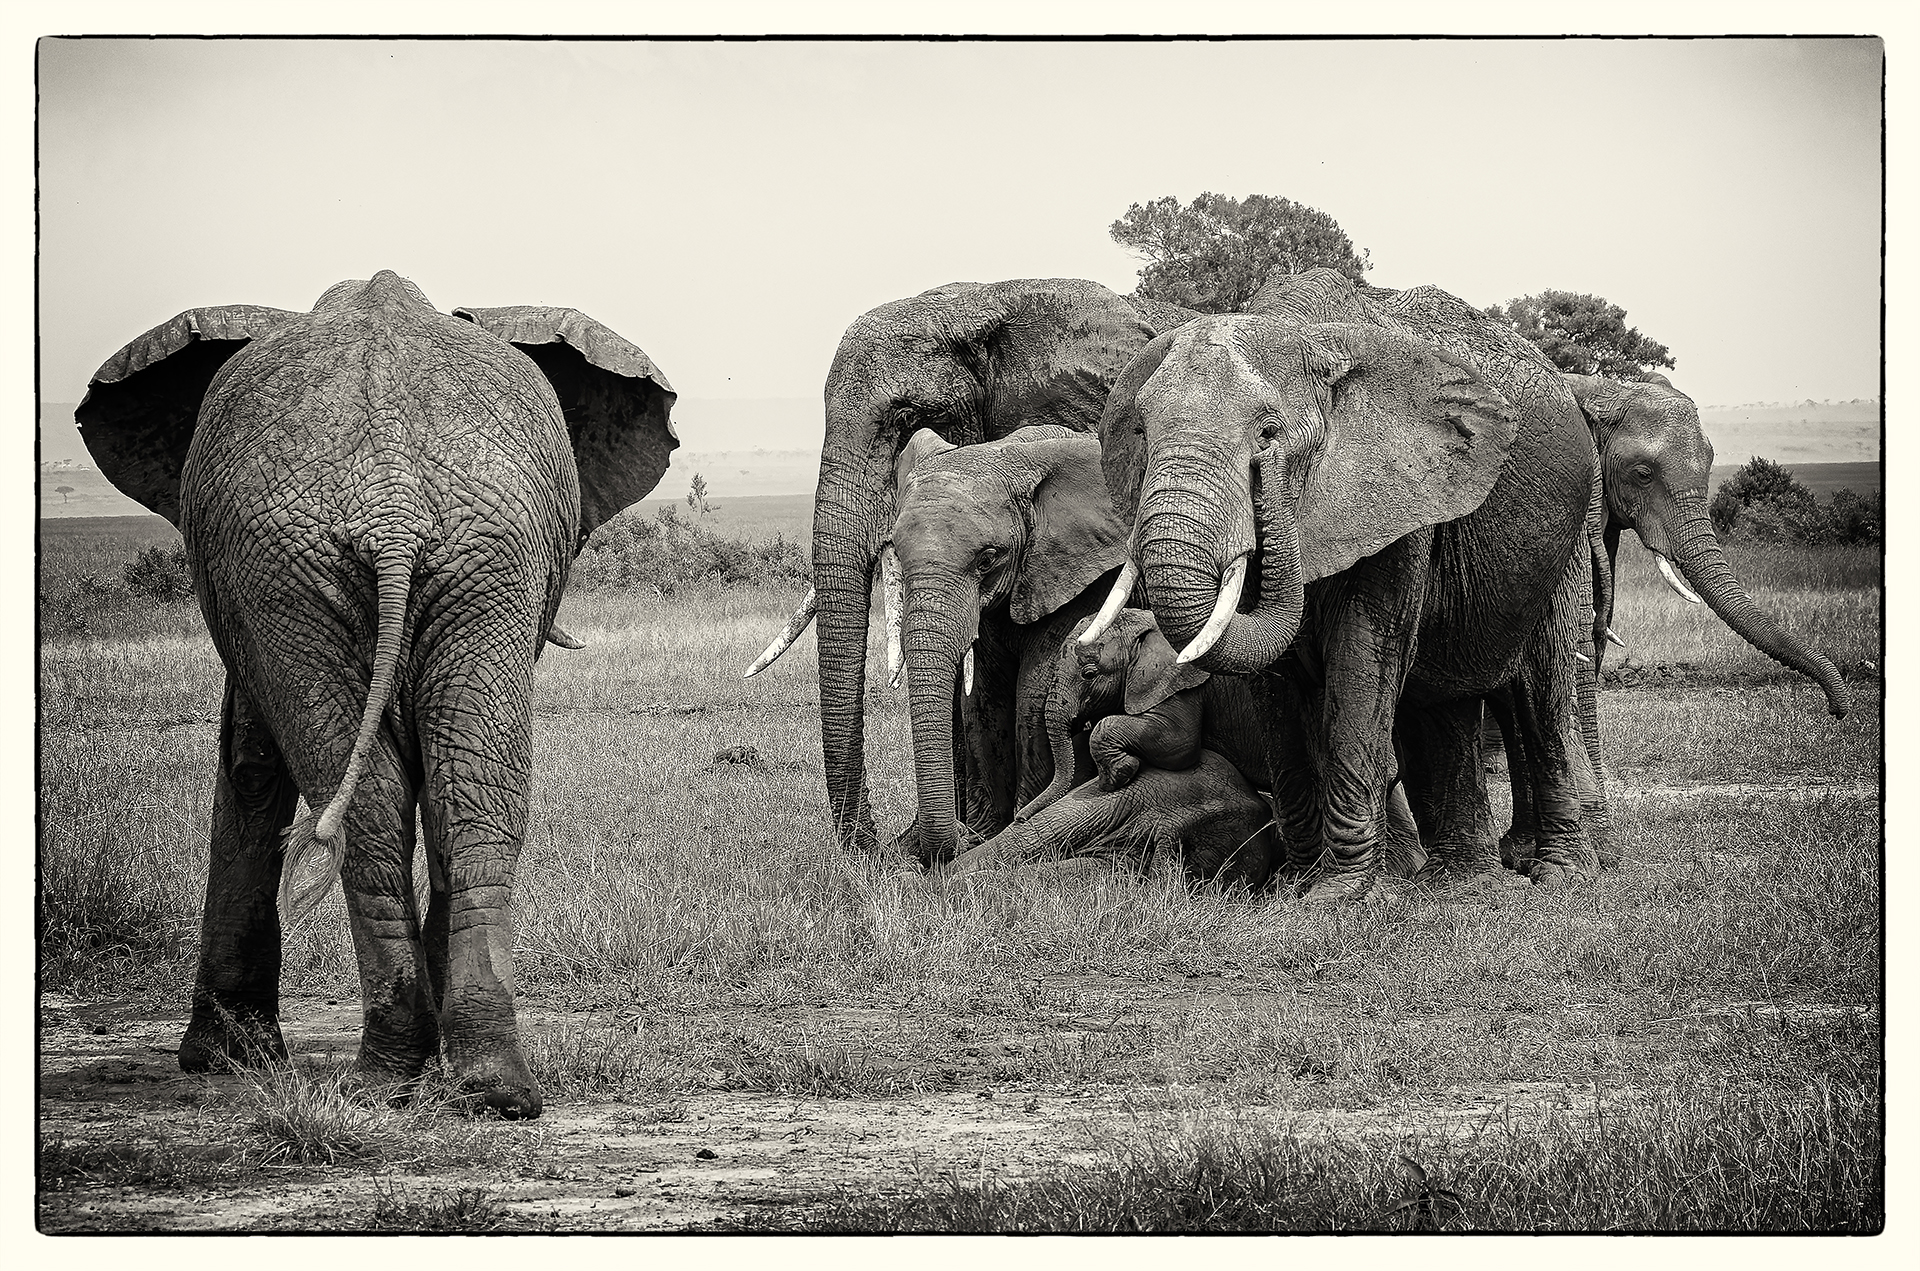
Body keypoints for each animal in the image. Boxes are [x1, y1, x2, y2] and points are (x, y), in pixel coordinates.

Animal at [80, 274, 683, 1121]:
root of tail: (390, 506)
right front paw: (233, 1057)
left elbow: (249, 764)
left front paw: (220, 1060)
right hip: (415, 559)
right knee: (465, 789)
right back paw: (480, 1086)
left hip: (350, 564)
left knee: (396, 791)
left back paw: (408, 1079)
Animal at [883, 426, 1136, 867]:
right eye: (896, 552)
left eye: (987, 559)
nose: (960, 835)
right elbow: (981, 699)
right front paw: (984, 834)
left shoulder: (1085, 580)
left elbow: (1032, 697)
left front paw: (1011, 825)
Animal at [1090, 268, 1597, 906]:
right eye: (1140, 431)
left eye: (1269, 434)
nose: (1270, 477)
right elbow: (1275, 687)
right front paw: (1295, 886)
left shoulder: (1404, 500)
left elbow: (1362, 656)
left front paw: (1341, 896)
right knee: (1446, 705)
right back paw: (1461, 883)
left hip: (1568, 541)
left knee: (1543, 692)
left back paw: (1558, 878)